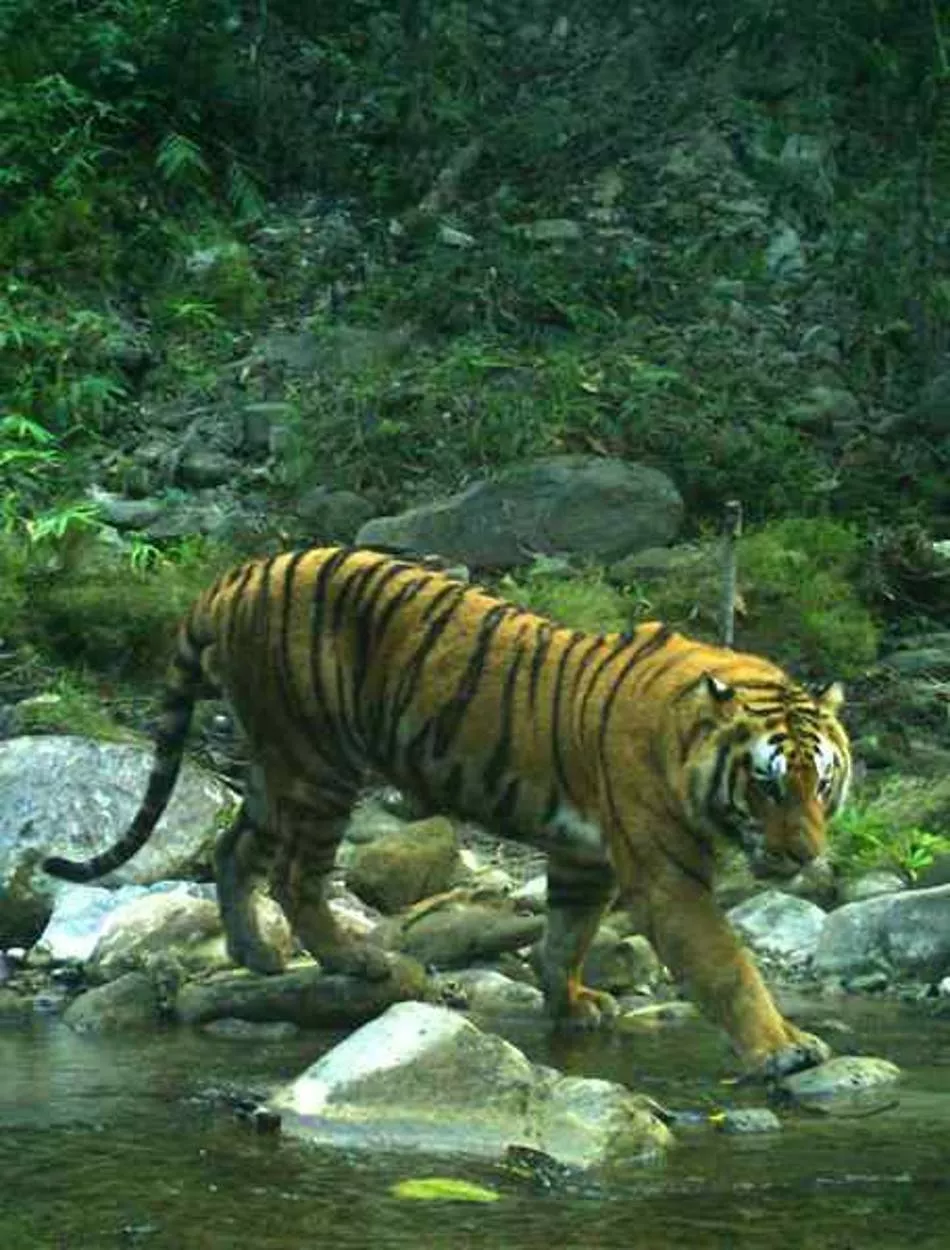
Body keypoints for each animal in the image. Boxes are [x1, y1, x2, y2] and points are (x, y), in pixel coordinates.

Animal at [44, 544, 851, 1077]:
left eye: (821, 786)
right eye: (768, 786)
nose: (806, 856)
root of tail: (240, 574)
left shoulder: (583, 855)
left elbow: (565, 935)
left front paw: (573, 1002)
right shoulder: (665, 876)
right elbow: (726, 965)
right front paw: (782, 1048)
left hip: (278, 766)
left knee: (233, 850)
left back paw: (255, 954)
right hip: (320, 762)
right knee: (297, 878)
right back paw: (356, 959)